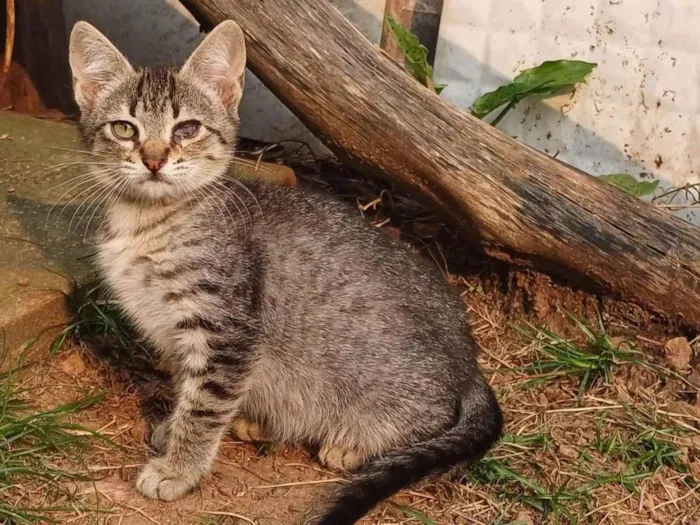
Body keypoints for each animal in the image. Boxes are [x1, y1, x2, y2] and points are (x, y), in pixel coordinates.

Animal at [67, 18, 504, 520]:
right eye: (124, 128)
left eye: (187, 129)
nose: (153, 159)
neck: (148, 223)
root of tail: (469, 361)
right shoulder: (177, 335)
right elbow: (186, 388)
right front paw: (173, 432)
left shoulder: (226, 332)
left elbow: (205, 404)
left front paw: (179, 467)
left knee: (432, 419)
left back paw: (352, 443)